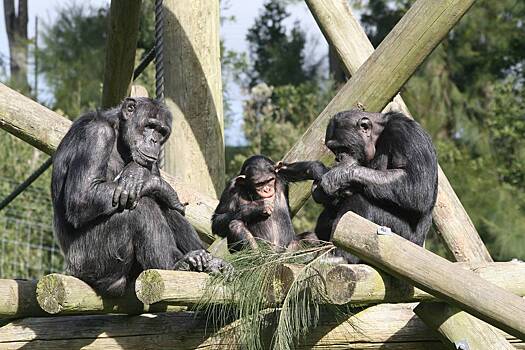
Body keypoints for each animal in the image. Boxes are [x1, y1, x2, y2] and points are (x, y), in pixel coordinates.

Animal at [51, 97, 229, 296]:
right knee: (142, 206)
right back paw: (176, 264)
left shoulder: (153, 163)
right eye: (150, 126)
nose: (154, 140)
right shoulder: (96, 135)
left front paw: (141, 175)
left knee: (163, 205)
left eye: (161, 132)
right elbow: (82, 196)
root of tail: (71, 270)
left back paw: (210, 262)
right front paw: (150, 180)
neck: (118, 133)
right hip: (90, 261)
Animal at [312, 109, 438, 262]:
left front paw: (337, 176)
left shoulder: (406, 133)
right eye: (334, 150)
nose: (338, 157)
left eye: (343, 148)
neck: (379, 135)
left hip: (401, 238)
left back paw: (342, 256)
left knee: (359, 202)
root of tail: (420, 245)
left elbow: (418, 185)